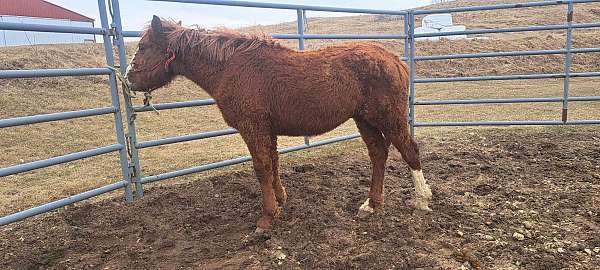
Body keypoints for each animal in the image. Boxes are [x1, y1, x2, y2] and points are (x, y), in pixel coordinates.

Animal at [125, 15, 432, 233]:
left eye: (143, 46)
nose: (128, 78)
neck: (231, 68)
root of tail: (394, 59)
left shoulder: (253, 128)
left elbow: (261, 168)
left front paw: (267, 218)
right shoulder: (267, 130)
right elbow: (273, 163)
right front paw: (281, 199)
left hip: (389, 118)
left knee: (409, 151)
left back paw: (422, 200)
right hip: (364, 120)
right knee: (378, 153)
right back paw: (372, 204)